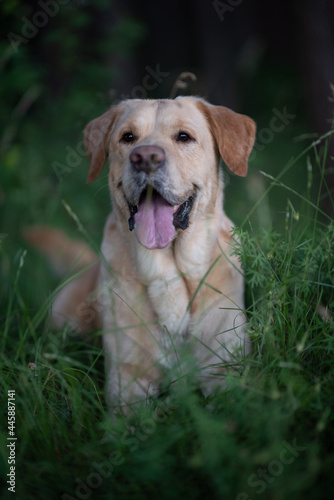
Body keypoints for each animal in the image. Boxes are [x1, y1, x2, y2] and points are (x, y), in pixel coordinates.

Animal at [26, 96, 256, 410]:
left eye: (184, 137)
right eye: (128, 137)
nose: (145, 157)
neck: (170, 273)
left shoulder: (224, 372)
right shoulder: (128, 383)